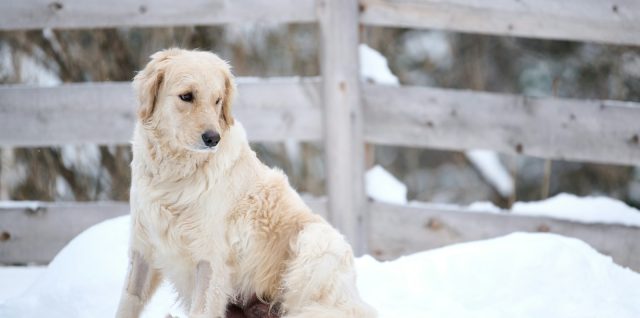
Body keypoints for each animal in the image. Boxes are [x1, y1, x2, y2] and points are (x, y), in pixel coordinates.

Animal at [116, 47, 376, 318]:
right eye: (186, 96)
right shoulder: (142, 249)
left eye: (218, 100)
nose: (213, 138)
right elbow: (127, 303)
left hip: (315, 243)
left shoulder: (210, 262)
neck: (173, 173)